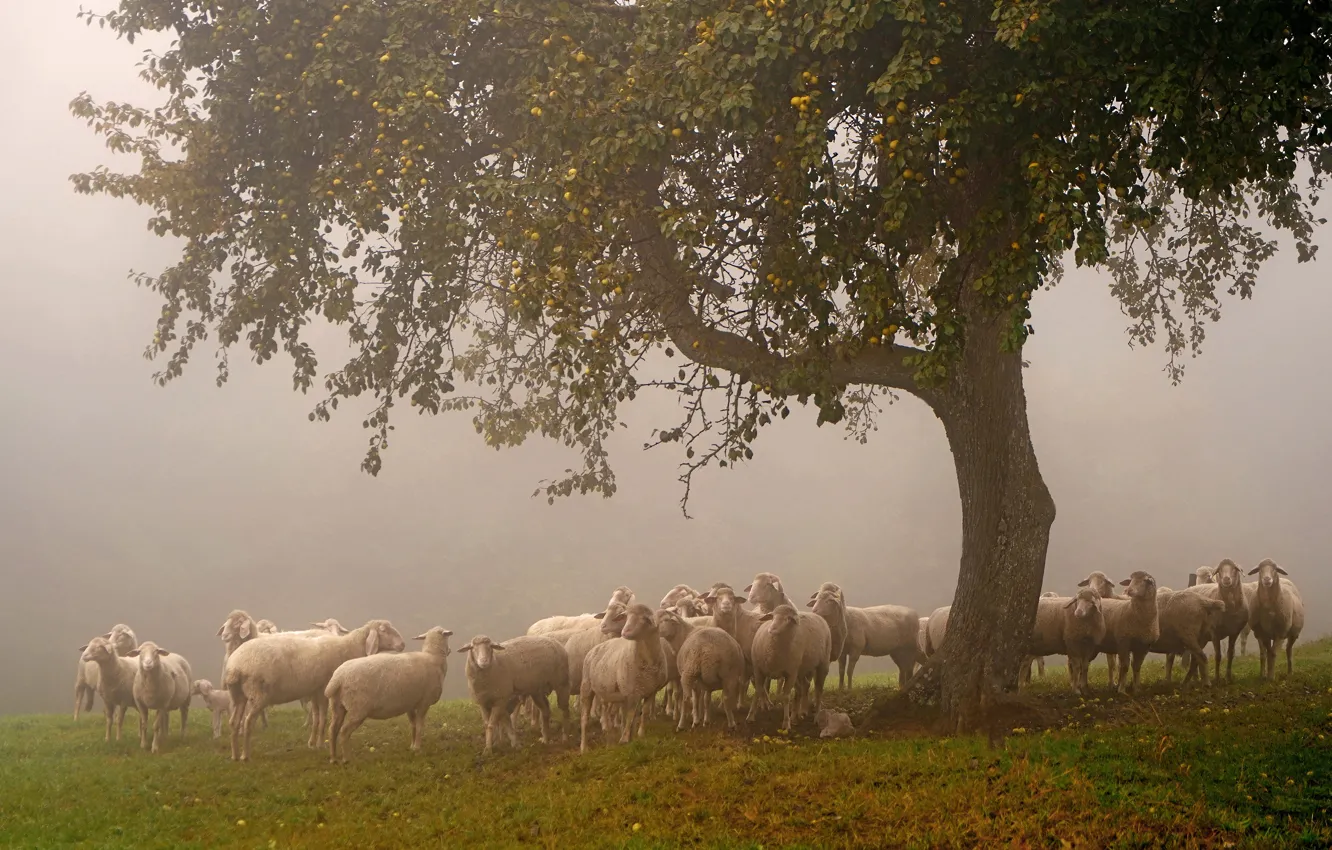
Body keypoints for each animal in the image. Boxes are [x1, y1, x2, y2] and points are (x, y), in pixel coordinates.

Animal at [223, 618, 404, 767]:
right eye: (384, 630)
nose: (402, 644)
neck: (347, 647)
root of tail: (236, 665)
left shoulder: (316, 691)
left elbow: (316, 718)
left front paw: (312, 743)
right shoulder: (325, 690)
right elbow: (323, 719)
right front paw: (320, 744)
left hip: (238, 695)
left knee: (233, 722)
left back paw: (234, 755)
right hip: (257, 695)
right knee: (247, 722)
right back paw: (246, 756)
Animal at [326, 626, 452, 767]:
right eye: (446, 636)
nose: (450, 650)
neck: (433, 657)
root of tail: (338, 678)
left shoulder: (410, 704)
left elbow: (413, 725)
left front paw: (412, 746)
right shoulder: (424, 702)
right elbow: (419, 726)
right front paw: (418, 748)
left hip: (337, 705)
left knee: (332, 730)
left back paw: (333, 758)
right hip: (357, 709)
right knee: (344, 732)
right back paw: (347, 759)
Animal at [580, 602, 666, 756]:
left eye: (644, 618)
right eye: (626, 617)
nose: (625, 632)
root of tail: (594, 649)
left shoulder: (650, 691)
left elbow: (643, 713)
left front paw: (638, 735)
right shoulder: (631, 693)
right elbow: (630, 715)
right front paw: (625, 738)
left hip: (607, 693)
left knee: (607, 715)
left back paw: (609, 739)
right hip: (586, 688)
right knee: (584, 719)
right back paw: (584, 748)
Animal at [751, 607, 831, 735]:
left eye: (788, 619)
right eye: (773, 616)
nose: (771, 630)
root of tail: (818, 616)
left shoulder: (790, 673)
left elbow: (786, 697)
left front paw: (786, 723)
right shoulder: (758, 670)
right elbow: (758, 690)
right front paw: (750, 716)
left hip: (822, 665)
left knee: (818, 691)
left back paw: (816, 716)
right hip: (800, 671)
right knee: (802, 688)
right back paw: (797, 714)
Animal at [1241, 559, 1305, 687]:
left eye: (1275, 569)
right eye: (1260, 569)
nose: (1266, 579)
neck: (1268, 607)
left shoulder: (1280, 633)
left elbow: (1274, 653)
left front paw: (1271, 677)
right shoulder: (1263, 633)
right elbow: (1268, 653)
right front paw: (1266, 675)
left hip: (1293, 634)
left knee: (1288, 650)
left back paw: (1290, 672)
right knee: (1266, 653)